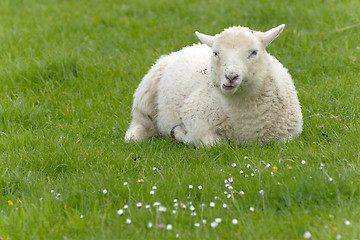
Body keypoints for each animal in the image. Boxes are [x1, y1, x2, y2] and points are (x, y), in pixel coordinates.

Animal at [125, 23, 302, 146]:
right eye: (216, 53)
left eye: (254, 52)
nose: (231, 76)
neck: (246, 121)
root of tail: (190, 46)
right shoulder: (195, 118)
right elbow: (215, 144)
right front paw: (179, 133)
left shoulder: (289, 134)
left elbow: (284, 141)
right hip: (145, 95)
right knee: (140, 122)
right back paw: (134, 137)